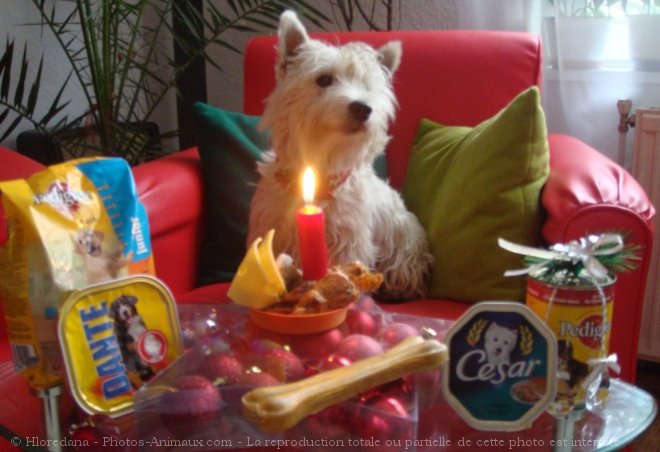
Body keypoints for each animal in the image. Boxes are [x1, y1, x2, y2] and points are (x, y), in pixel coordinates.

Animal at [248, 10, 434, 298]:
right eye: (324, 79)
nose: (363, 109)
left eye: (367, 87)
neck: (321, 164)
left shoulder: (348, 239)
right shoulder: (274, 229)